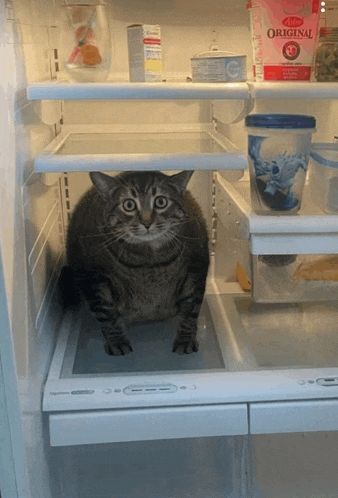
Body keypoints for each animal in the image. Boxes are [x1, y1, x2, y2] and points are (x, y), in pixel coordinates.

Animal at [61, 169, 209, 356]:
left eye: (161, 201)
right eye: (129, 205)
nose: (147, 222)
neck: (149, 260)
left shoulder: (196, 270)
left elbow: (191, 311)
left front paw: (186, 340)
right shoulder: (94, 278)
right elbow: (106, 314)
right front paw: (117, 342)